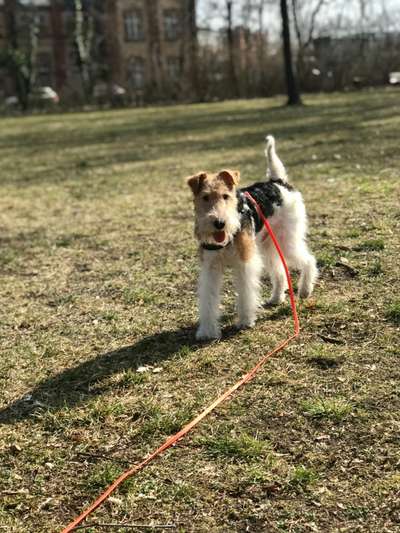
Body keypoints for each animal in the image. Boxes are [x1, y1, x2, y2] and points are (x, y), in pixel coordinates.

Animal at [186, 135, 318, 338]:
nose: (219, 223)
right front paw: (207, 331)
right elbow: (208, 299)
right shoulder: (210, 267)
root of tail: (277, 182)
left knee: (309, 259)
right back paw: (276, 297)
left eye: (226, 196)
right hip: (267, 244)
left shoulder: (244, 262)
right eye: (205, 197)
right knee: (280, 271)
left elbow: (246, 293)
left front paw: (245, 321)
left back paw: (304, 290)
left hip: (286, 239)